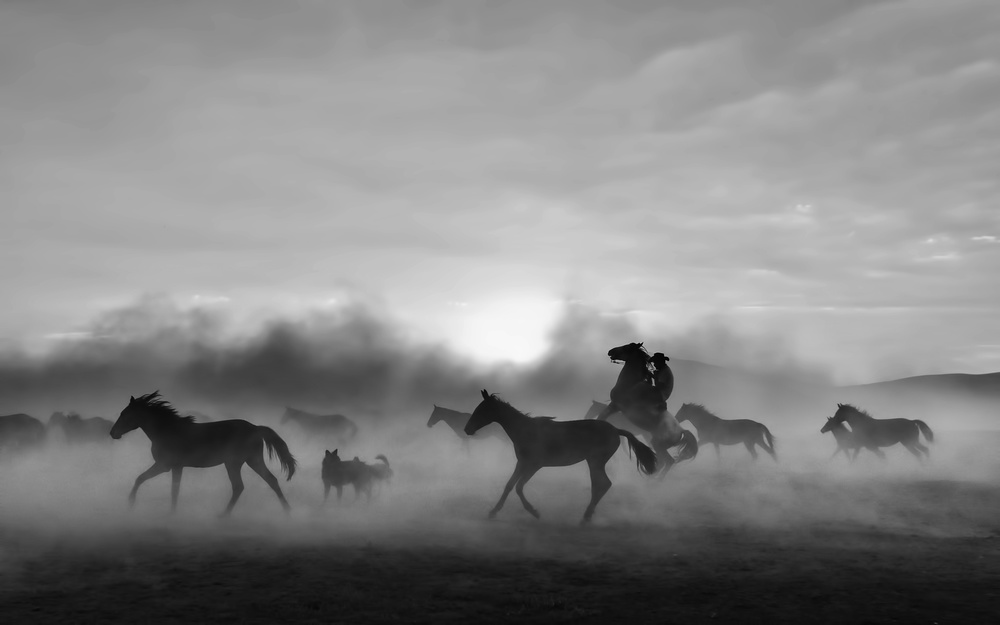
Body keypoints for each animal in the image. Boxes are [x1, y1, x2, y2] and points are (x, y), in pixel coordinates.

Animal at [111, 391, 297, 516]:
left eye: (125, 414)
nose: (113, 433)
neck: (167, 430)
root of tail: (256, 428)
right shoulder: (175, 467)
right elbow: (169, 488)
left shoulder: (166, 465)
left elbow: (146, 480)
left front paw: (131, 504)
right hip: (252, 460)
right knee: (270, 481)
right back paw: (287, 512)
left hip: (234, 463)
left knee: (239, 486)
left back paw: (223, 516)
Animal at [466, 389, 657, 524]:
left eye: (481, 410)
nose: (467, 429)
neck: (525, 430)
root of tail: (615, 430)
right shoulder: (522, 463)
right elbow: (509, 486)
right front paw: (493, 512)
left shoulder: (534, 465)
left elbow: (519, 487)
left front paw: (534, 512)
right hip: (594, 462)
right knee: (599, 485)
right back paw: (588, 515)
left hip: (596, 461)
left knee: (603, 484)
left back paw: (585, 517)